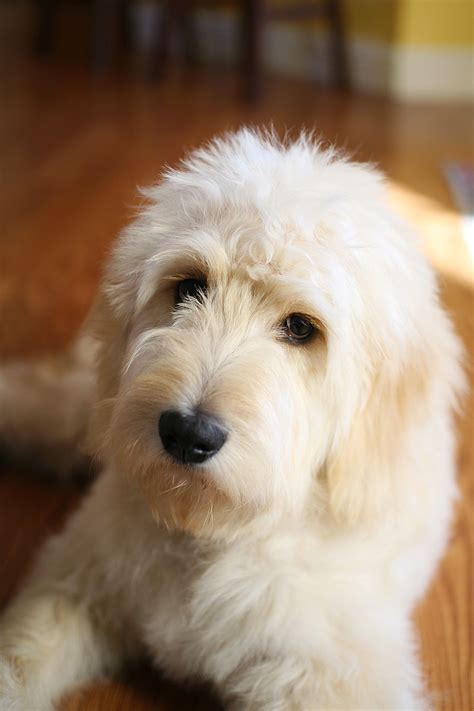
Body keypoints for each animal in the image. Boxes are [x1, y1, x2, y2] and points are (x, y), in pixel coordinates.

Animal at [0, 129, 464, 711]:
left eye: (301, 328)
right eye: (189, 286)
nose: (187, 434)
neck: (214, 532)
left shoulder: (332, 675)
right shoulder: (79, 578)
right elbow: (21, 650)